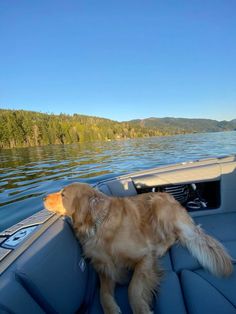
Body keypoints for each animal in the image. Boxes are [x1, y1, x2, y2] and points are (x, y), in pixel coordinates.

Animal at [43, 183, 233, 312]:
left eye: (63, 194)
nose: (43, 198)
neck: (98, 227)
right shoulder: (106, 270)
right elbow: (103, 296)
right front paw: (112, 309)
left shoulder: (144, 257)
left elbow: (133, 288)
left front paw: (141, 308)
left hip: (159, 205)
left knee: (172, 236)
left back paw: (161, 248)